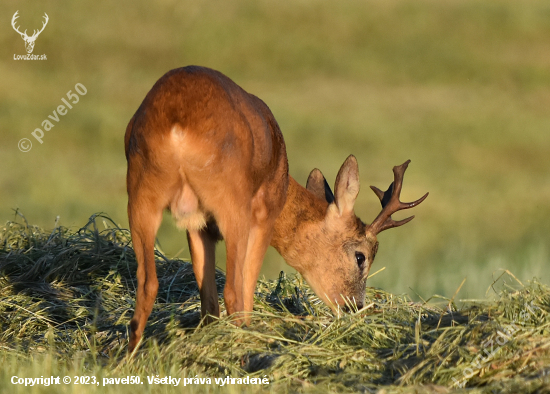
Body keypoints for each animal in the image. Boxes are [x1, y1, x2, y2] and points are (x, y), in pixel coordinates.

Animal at [126, 65, 432, 350]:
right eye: (361, 257)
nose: (354, 306)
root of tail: (178, 124)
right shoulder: (263, 217)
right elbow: (243, 291)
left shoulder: (199, 226)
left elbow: (208, 302)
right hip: (232, 205)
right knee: (233, 291)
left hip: (141, 194)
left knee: (147, 285)